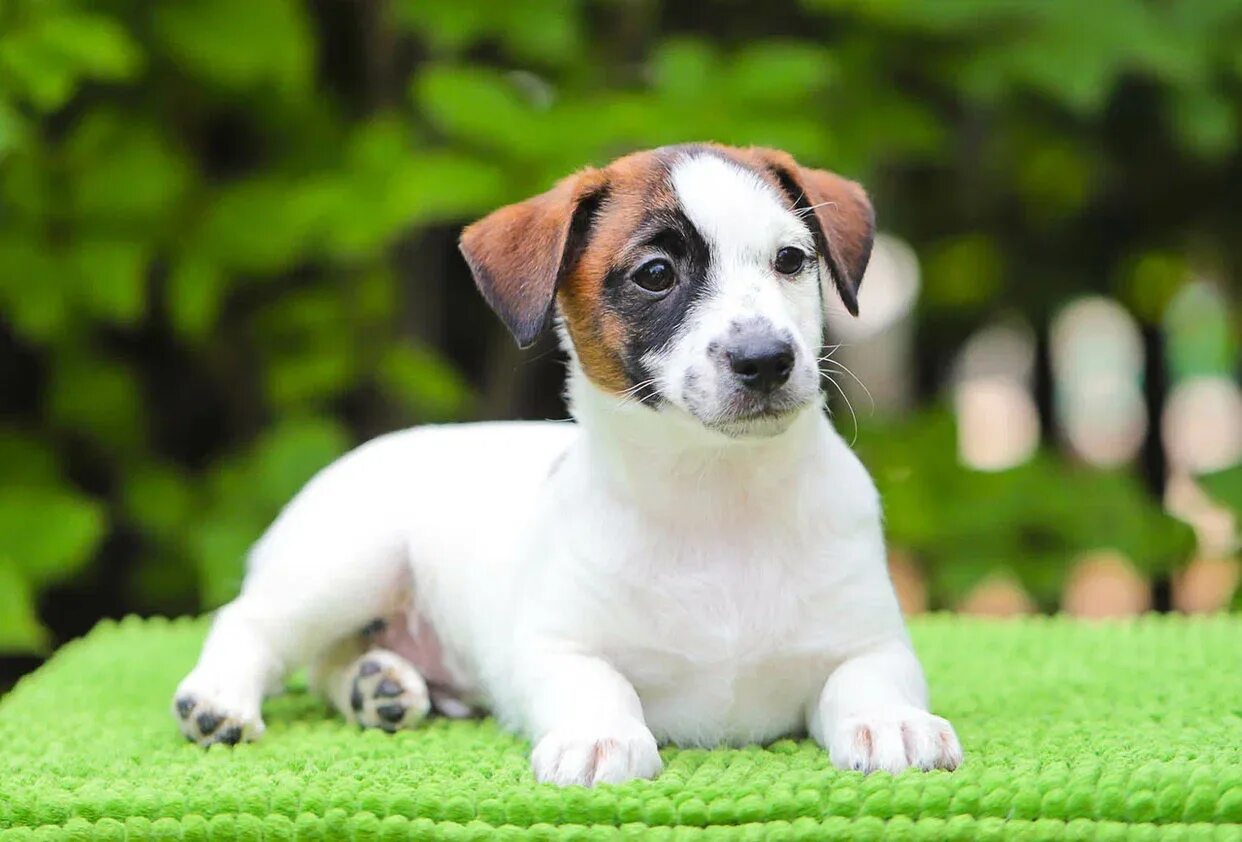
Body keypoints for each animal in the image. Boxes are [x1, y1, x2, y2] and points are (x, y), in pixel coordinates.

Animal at [172, 143, 958, 784]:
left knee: (328, 661)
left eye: (791, 260)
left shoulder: (872, 641)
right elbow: (595, 685)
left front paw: (891, 722)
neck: (714, 494)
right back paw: (221, 697)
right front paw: (601, 735)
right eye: (656, 273)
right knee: (253, 622)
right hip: (346, 562)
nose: (766, 359)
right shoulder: (556, 647)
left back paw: (378, 684)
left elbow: (867, 678)